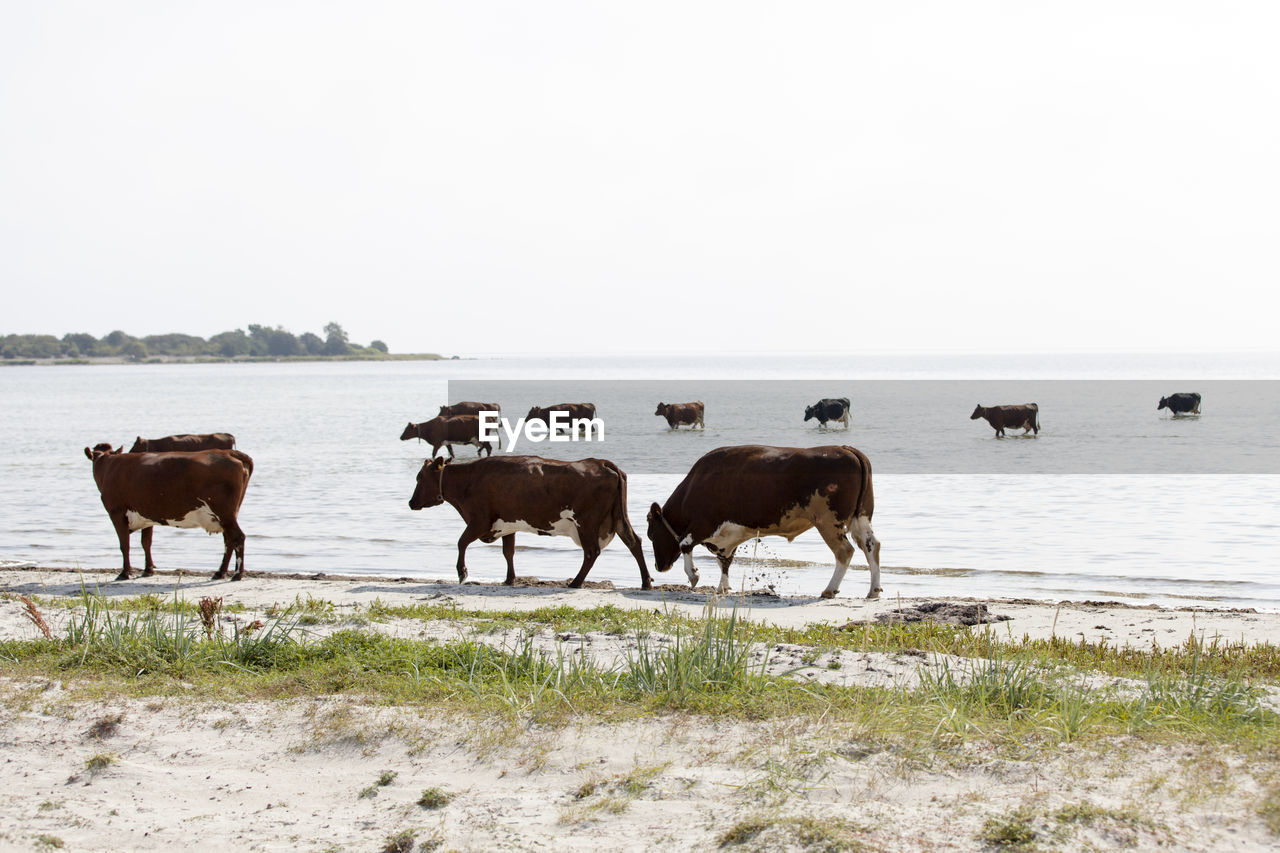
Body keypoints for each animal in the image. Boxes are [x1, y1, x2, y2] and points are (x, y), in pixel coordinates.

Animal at [83, 445, 253, 578]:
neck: (108, 465)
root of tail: (227, 452)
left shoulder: (116, 512)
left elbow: (124, 544)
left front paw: (125, 573)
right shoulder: (146, 514)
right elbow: (146, 543)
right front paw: (148, 570)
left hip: (224, 513)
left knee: (238, 537)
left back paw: (237, 574)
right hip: (227, 515)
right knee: (229, 540)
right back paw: (220, 573)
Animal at [407, 455, 655, 589]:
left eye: (419, 477)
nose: (411, 502)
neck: (469, 480)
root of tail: (601, 462)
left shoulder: (480, 521)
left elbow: (461, 542)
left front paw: (462, 572)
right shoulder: (507, 524)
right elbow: (508, 552)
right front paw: (509, 579)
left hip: (586, 523)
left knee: (591, 552)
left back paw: (575, 582)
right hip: (618, 518)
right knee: (634, 542)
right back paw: (645, 582)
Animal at [645, 445, 885, 596]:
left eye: (650, 534)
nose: (659, 566)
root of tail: (845, 448)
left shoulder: (705, 522)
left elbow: (685, 543)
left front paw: (693, 575)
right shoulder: (730, 534)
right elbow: (724, 561)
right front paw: (723, 587)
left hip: (828, 521)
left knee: (845, 550)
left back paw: (829, 590)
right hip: (861, 516)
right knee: (871, 545)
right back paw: (873, 591)